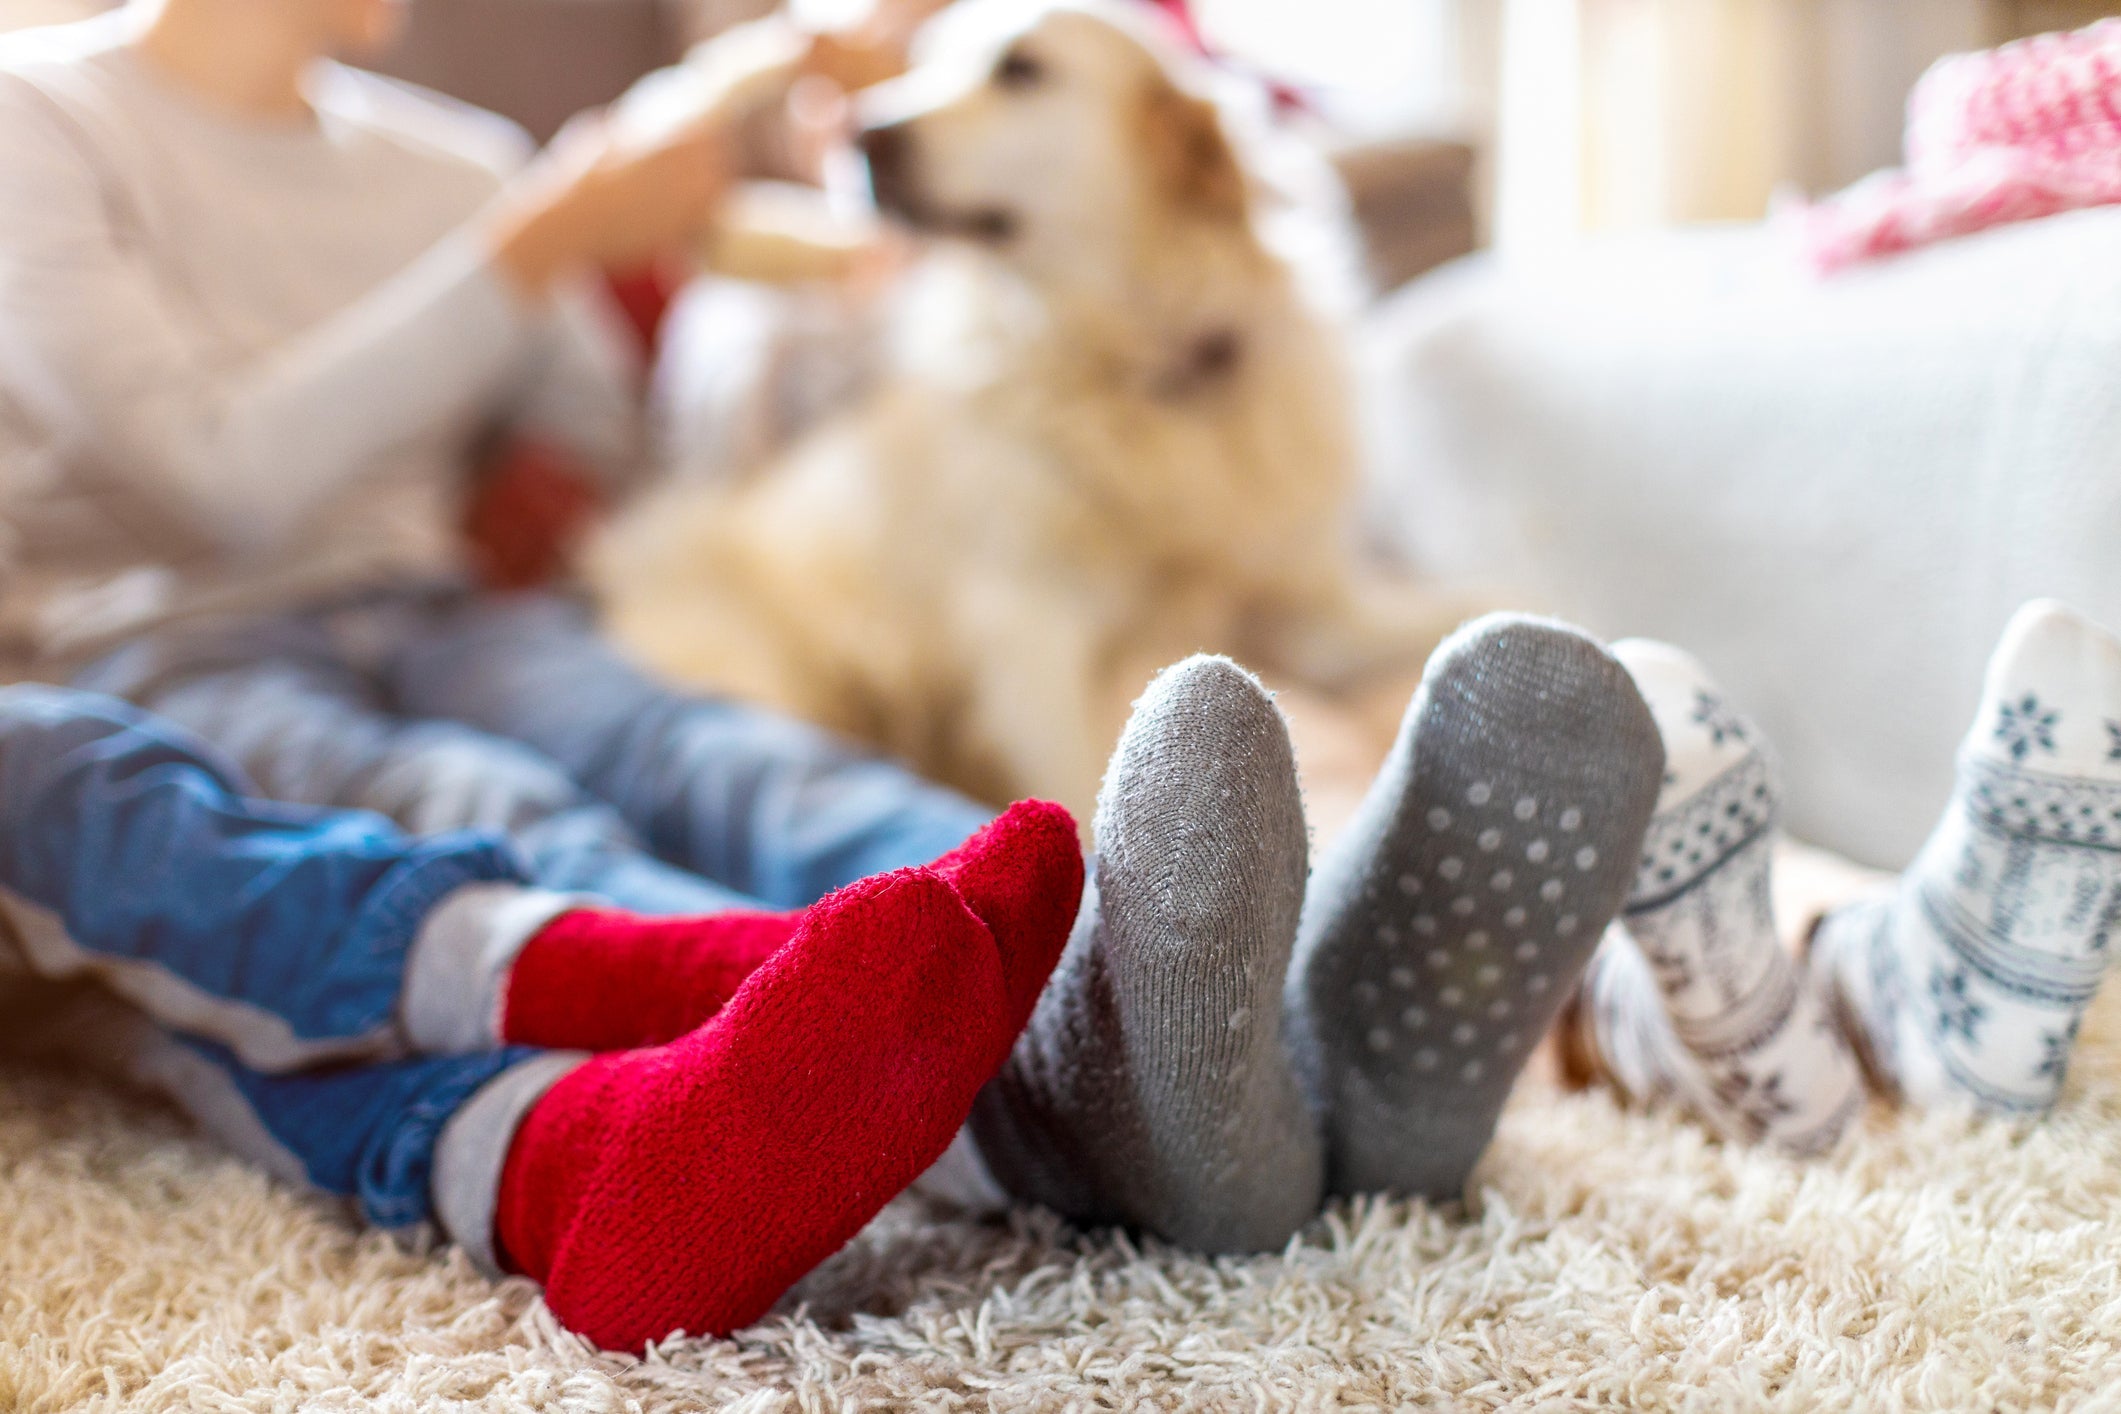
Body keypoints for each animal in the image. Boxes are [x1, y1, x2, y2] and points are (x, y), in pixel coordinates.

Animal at [598, 2, 1442, 818]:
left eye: (1022, 69)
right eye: (924, 63)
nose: (858, 132)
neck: (1140, 380)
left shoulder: (1308, 611)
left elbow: (1448, 604)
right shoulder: (1028, 630)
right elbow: (1070, 769)